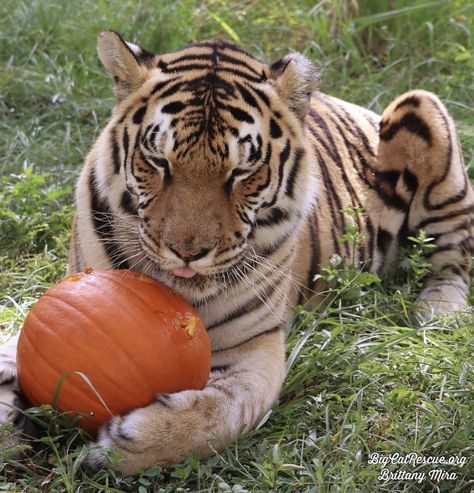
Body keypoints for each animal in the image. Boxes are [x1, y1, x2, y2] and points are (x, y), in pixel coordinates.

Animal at [0, 29, 472, 472]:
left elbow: (222, 412)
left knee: (454, 255)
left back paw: (438, 312)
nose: (187, 251)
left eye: (242, 171)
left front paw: (126, 446)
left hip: (424, 111)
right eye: (158, 162)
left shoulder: (257, 346)